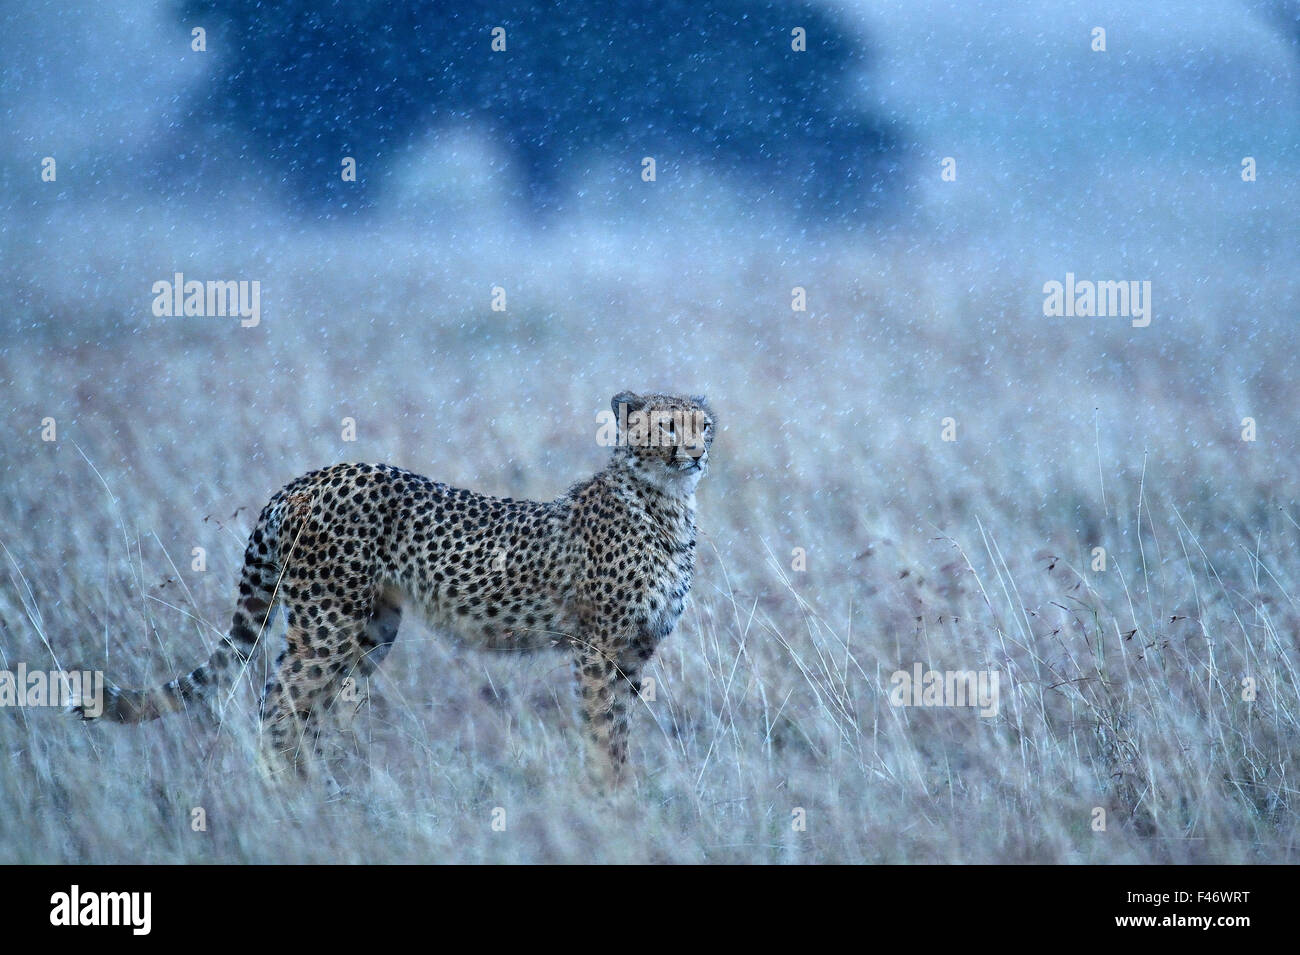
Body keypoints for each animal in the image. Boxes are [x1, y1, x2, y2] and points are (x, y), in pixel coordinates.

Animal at [73, 392, 712, 789]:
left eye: (701, 423)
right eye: (664, 425)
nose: (697, 450)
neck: (665, 501)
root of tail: (309, 478)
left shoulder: (634, 651)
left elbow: (620, 729)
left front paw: (621, 795)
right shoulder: (598, 648)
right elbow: (604, 730)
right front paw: (611, 799)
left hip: (370, 630)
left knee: (314, 710)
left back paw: (320, 791)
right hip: (327, 624)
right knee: (281, 703)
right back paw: (285, 797)